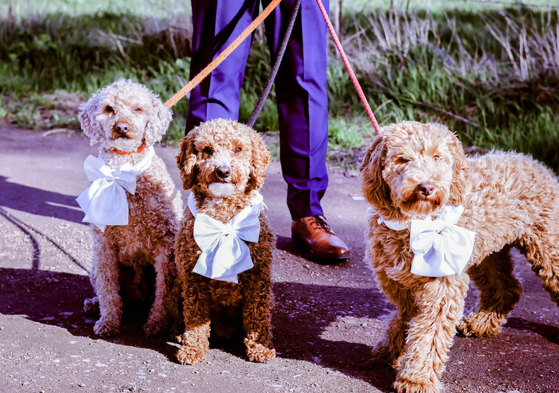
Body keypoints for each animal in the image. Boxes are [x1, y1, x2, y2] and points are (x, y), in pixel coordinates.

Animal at [79, 79, 183, 336]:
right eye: (109, 109)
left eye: (138, 109)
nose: (122, 127)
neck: (123, 172)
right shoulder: (104, 244)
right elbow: (108, 288)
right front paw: (109, 321)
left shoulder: (165, 244)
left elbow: (163, 292)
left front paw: (156, 324)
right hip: (95, 266)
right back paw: (94, 304)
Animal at [173, 118, 274, 364]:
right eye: (208, 150)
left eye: (238, 149)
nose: (223, 171)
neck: (223, 215)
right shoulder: (192, 277)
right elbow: (195, 317)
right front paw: (193, 348)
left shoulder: (258, 276)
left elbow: (258, 315)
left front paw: (260, 347)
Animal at [360, 121, 556, 392]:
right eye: (403, 159)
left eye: (437, 157)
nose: (426, 187)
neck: (415, 224)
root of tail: (536, 164)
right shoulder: (399, 284)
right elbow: (405, 319)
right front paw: (388, 351)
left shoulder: (441, 288)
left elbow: (429, 335)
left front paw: (417, 379)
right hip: (486, 253)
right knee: (507, 288)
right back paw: (481, 322)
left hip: (546, 244)